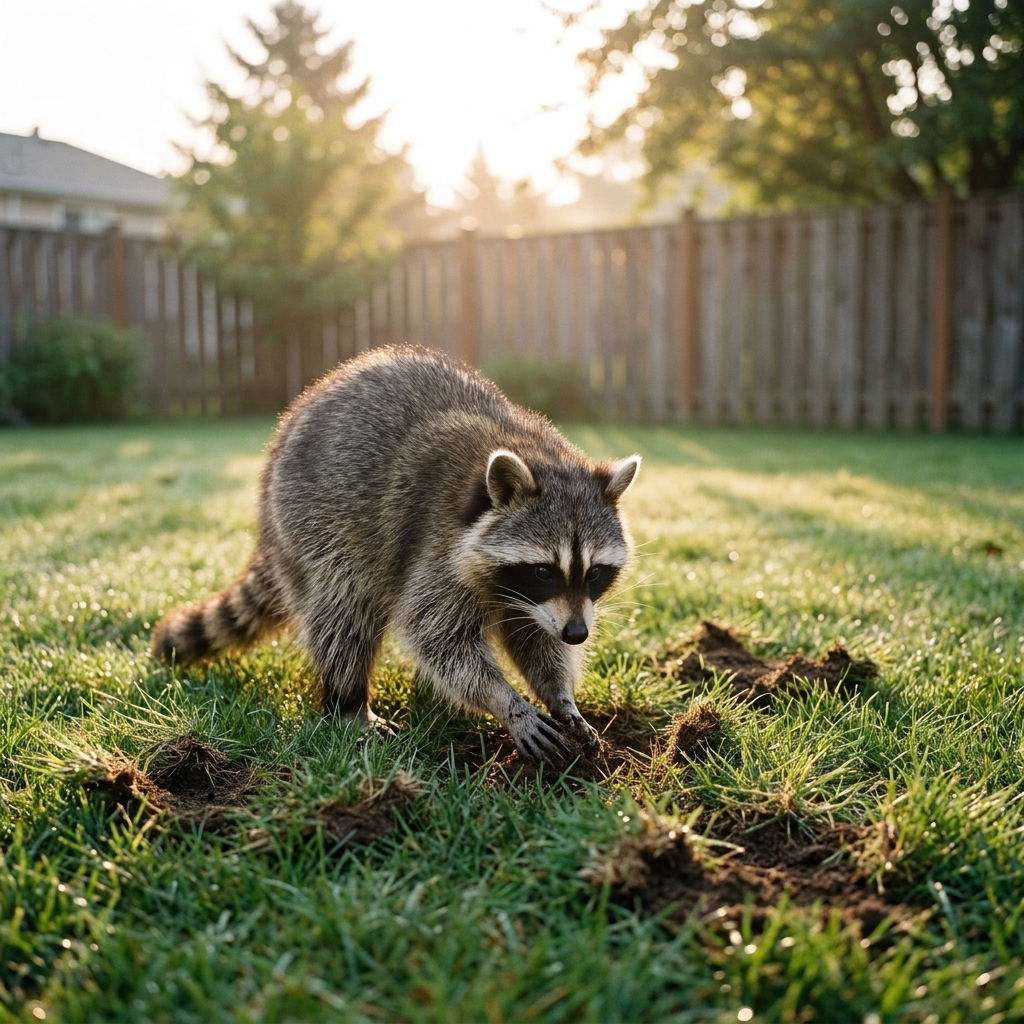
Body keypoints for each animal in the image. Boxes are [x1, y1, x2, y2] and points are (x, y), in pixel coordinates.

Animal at [153, 346, 640, 761]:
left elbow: (536, 639)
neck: (534, 453)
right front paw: (506, 702)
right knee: (344, 610)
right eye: (543, 570)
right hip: (312, 520)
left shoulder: (534, 603)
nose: (577, 634)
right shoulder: (437, 546)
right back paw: (349, 703)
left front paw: (561, 697)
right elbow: (436, 636)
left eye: (595, 573)